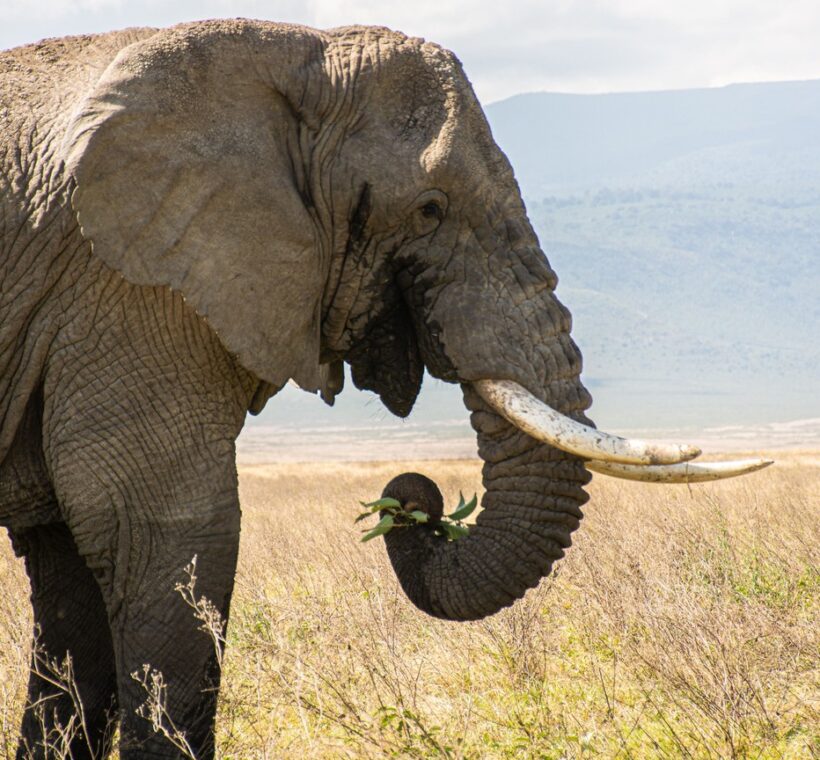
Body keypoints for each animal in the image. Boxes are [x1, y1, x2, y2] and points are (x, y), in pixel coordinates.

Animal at [0, 19, 770, 759]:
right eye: (430, 210)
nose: (410, 499)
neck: (291, 54)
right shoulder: (132, 288)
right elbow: (162, 533)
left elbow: (75, 576)